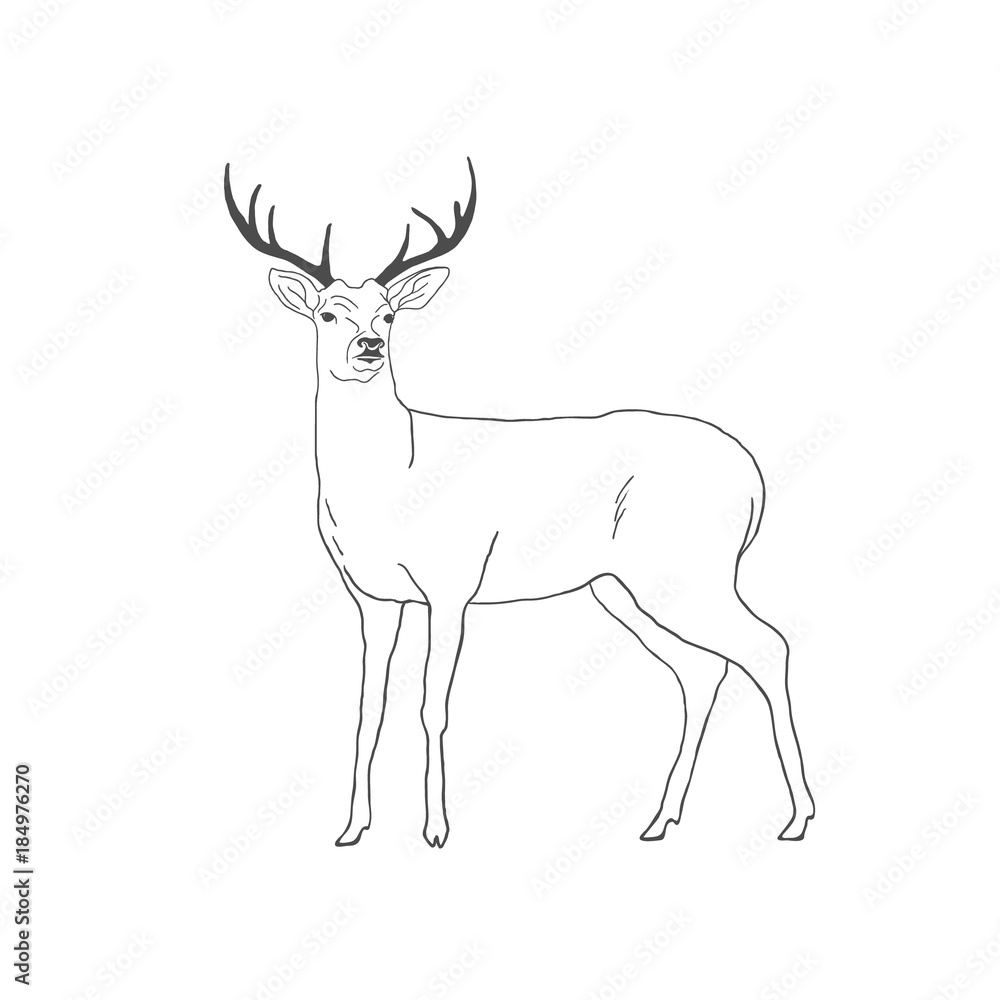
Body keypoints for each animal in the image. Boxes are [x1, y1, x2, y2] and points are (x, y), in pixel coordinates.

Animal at [223, 158, 815, 848]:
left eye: (388, 315)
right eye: (326, 314)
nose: (368, 346)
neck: (394, 478)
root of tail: (754, 476)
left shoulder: (450, 585)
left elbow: (432, 704)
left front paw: (435, 829)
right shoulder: (372, 597)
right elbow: (370, 706)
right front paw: (352, 829)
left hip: (689, 571)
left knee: (766, 647)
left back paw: (796, 818)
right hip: (622, 586)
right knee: (702, 670)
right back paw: (660, 820)